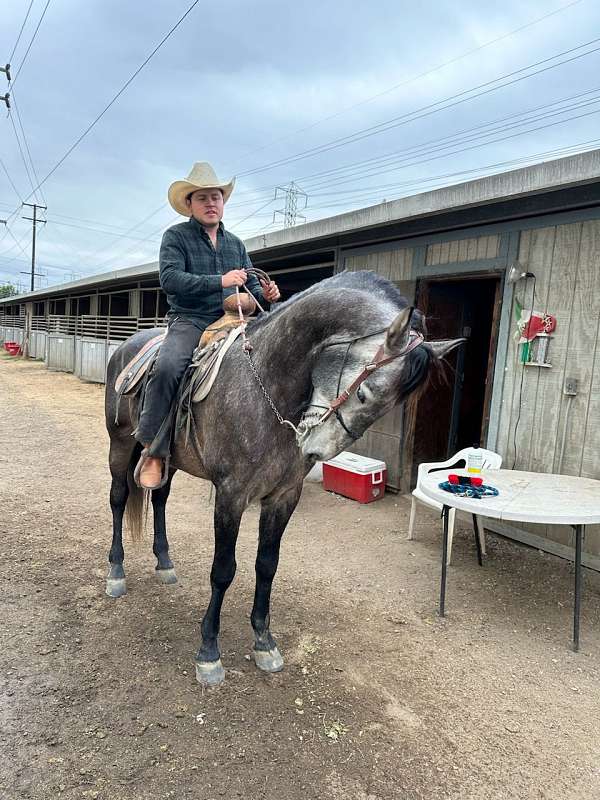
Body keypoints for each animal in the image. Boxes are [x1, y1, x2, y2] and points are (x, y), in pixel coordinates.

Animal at [105, 272, 460, 684]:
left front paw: (264, 640)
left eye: (390, 406)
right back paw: (116, 571)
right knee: (118, 498)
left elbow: (267, 565)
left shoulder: (284, 495)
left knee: (159, 497)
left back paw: (164, 563)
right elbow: (223, 570)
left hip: (168, 460)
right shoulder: (231, 495)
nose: (315, 450)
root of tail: (126, 347)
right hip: (120, 444)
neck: (267, 384)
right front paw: (209, 651)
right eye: (365, 395)